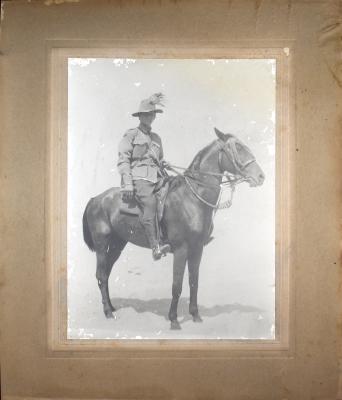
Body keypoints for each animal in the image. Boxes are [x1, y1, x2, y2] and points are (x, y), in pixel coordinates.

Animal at [82, 129, 264, 332]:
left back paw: (112, 307)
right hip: (101, 244)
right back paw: (107, 311)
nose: (260, 176)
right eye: (237, 148)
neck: (192, 198)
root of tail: (95, 199)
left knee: (106, 273)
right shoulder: (181, 249)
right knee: (101, 274)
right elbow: (177, 285)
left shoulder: (197, 249)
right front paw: (174, 320)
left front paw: (195, 315)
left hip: (117, 244)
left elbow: (194, 281)